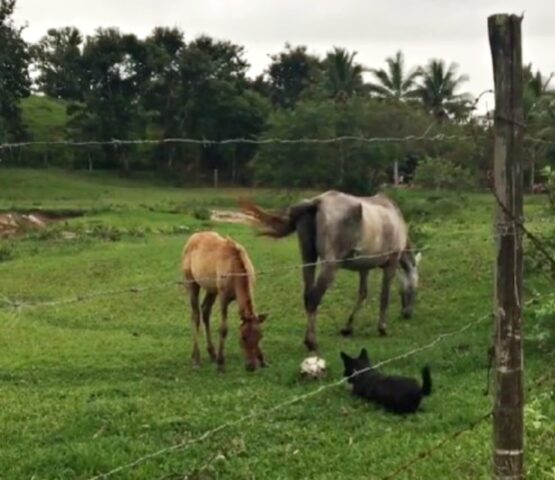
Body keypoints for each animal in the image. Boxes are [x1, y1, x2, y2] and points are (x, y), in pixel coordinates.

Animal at [182, 232, 268, 372]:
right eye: (243, 337)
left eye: (260, 336)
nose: (251, 366)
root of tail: (192, 238)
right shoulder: (223, 297)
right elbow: (223, 329)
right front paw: (221, 363)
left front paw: (263, 360)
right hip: (192, 283)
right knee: (195, 315)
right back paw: (196, 358)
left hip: (212, 289)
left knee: (205, 310)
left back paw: (212, 353)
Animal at [242, 189, 422, 350]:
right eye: (415, 288)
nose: (407, 314)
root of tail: (317, 201)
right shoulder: (391, 264)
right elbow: (385, 296)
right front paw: (383, 327)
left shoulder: (364, 268)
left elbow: (362, 294)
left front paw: (348, 327)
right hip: (330, 266)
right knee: (314, 298)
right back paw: (311, 341)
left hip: (308, 259)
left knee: (307, 296)